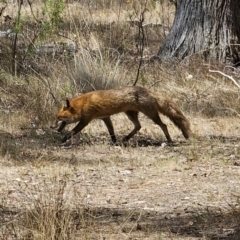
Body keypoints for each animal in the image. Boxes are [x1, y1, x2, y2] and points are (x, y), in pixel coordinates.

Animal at [51, 86, 191, 143]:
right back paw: (126, 138)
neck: (83, 104)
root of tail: (148, 90)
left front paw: (64, 138)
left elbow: (73, 131)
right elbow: (111, 132)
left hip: (151, 115)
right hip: (130, 114)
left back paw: (169, 140)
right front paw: (114, 142)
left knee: (164, 125)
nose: (51, 127)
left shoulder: (86, 120)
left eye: (59, 118)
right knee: (138, 126)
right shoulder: (105, 117)